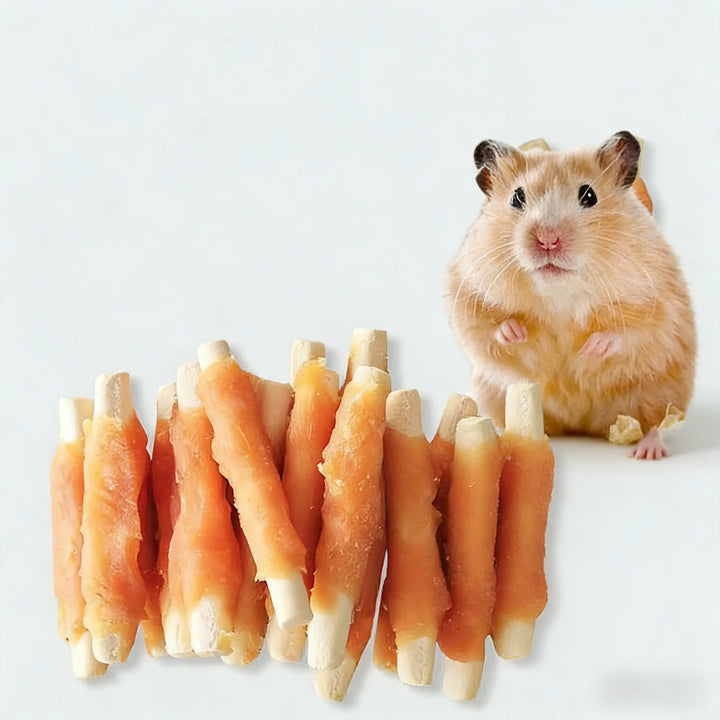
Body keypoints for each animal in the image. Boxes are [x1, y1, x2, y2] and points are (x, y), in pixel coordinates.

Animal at [446, 131, 696, 459]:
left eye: (589, 196)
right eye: (516, 198)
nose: (547, 240)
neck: (559, 289)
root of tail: (580, 426)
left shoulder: (660, 300)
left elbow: (633, 331)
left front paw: (591, 348)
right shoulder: (465, 289)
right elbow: (482, 325)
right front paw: (516, 332)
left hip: (661, 394)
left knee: (656, 423)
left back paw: (647, 452)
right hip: (491, 393)